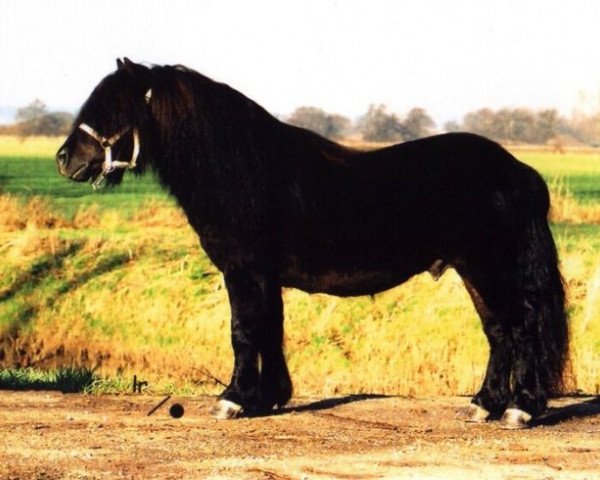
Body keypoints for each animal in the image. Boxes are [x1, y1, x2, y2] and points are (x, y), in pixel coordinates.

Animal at [56, 58, 568, 430]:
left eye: (111, 108)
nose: (64, 159)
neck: (242, 169)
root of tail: (518, 171)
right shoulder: (264, 277)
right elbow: (269, 330)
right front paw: (267, 399)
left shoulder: (244, 272)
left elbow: (244, 331)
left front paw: (232, 400)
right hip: (473, 270)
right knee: (498, 331)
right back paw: (484, 404)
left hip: (489, 268)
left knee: (521, 327)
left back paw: (521, 409)